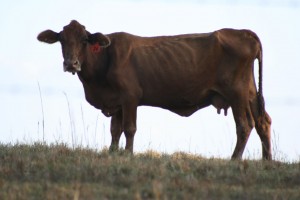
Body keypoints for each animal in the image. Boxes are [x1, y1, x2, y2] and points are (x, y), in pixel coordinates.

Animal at [37, 20, 272, 160]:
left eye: (85, 39)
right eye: (61, 40)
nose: (71, 63)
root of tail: (244, 32)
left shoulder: (130, 97)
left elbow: (129, 128)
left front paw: (128, 154)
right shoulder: (117, 102)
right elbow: (115, 130)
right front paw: (113, 153)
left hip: (237, 93)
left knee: (245, 124)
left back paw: (234, 160)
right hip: (250, 92)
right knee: (263, 121)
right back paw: (267, 161)